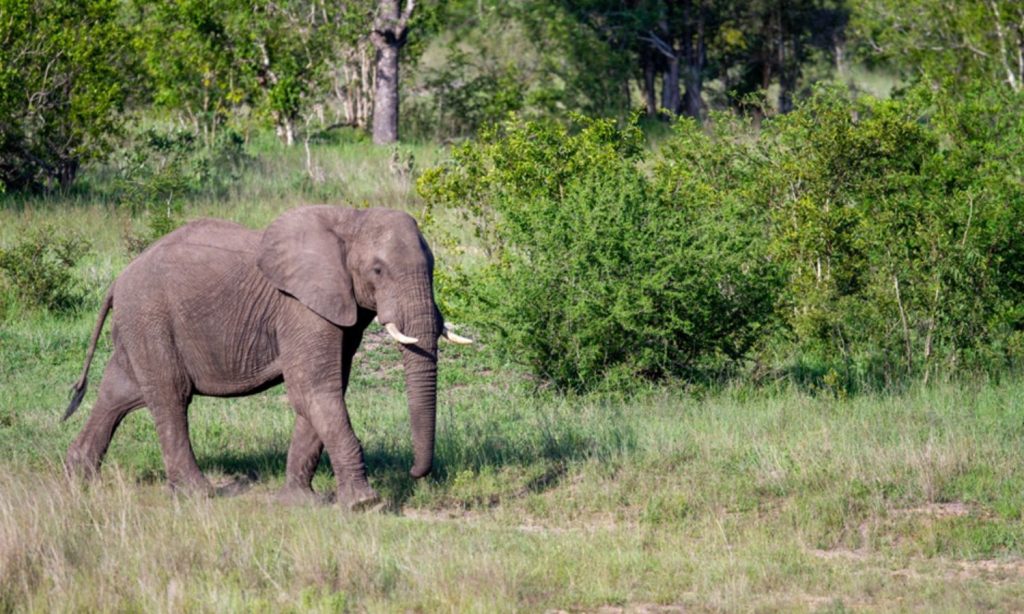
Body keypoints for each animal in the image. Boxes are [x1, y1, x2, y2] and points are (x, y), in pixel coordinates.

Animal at [66, 204, 473, 507]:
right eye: (377, 270)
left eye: (433, 268)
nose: (415, 474)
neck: (350, 218)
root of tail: (118, 279)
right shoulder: (300, 306)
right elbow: (313, 389)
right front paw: (364, 504)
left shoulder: (339, 309)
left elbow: (321, 392)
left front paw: (299, 502)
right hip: (150, 317)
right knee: (170, 396)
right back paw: (199, 494)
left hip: (139, 324)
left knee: (119, 392)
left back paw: (79, 477)